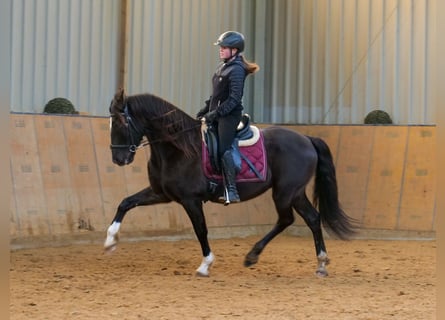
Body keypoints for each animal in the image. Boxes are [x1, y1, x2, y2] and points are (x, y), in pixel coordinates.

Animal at [103, 88, 354, 278]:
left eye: (122, 122)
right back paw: (320, 264)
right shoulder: (161, 193)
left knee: (286, 219)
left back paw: (252, 256)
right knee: (311, 218)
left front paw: (205, 265)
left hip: (284, 192)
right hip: (296, 193)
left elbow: (201, 230)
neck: (179, 148)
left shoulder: (190, 200)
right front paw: (110, 241)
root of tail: (307, 138)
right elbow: (125, 202)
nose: (118, 159)